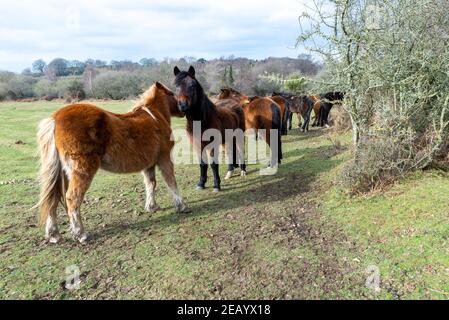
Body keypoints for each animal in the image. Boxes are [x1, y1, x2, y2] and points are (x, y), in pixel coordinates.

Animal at [35, 82, 189, 242]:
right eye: (172, 94)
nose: (184, 108)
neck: (155, 118)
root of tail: (55, 118)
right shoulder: (164, 158)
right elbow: (171, 181)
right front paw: (182, 206)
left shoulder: (149, 164)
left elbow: (151, 184)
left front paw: (152, 206)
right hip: (81, 171)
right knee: (72, 198)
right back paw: (80, 233)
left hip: (62, 173)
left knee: (53, 199)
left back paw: (54, 235)